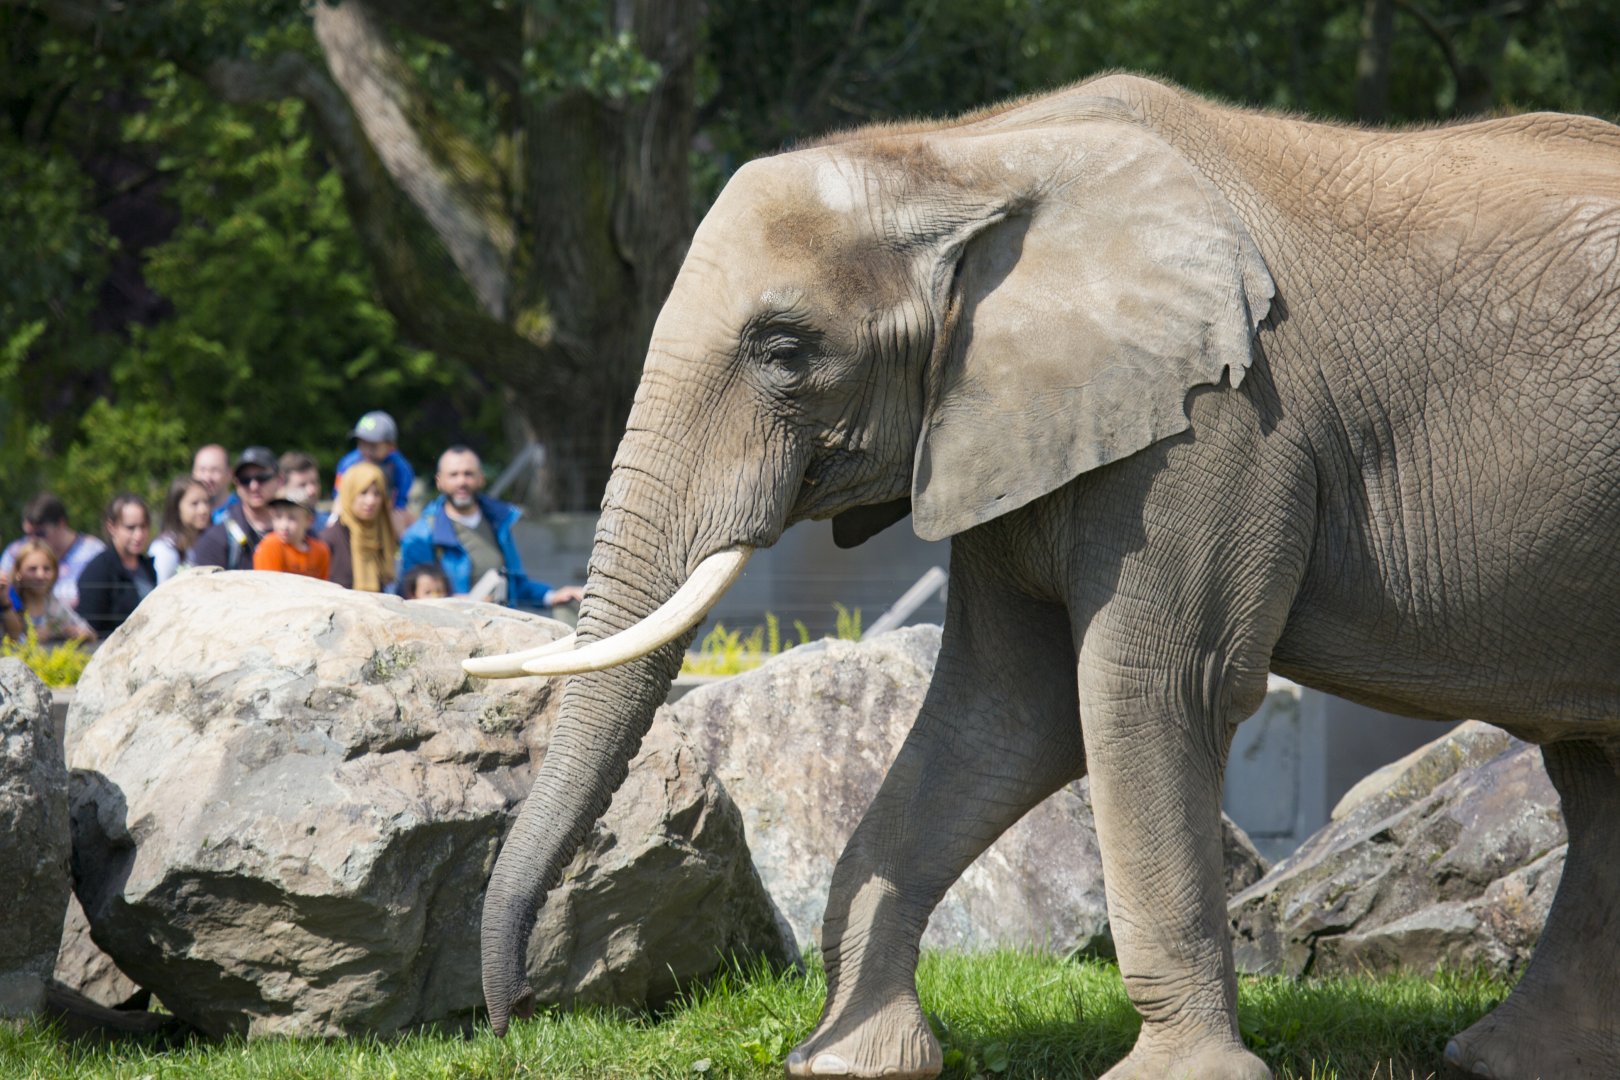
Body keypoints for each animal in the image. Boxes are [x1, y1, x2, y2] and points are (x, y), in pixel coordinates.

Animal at [468, 73, 1620, 1079]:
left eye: (784, 349)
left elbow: (1153, 689)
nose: (509, 1018)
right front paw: (849, 1062)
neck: (967, 153)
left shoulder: (1224, 419)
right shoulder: (1003, 423)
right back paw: (1513, 1062)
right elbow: (1004, 713)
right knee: (1592, 771)